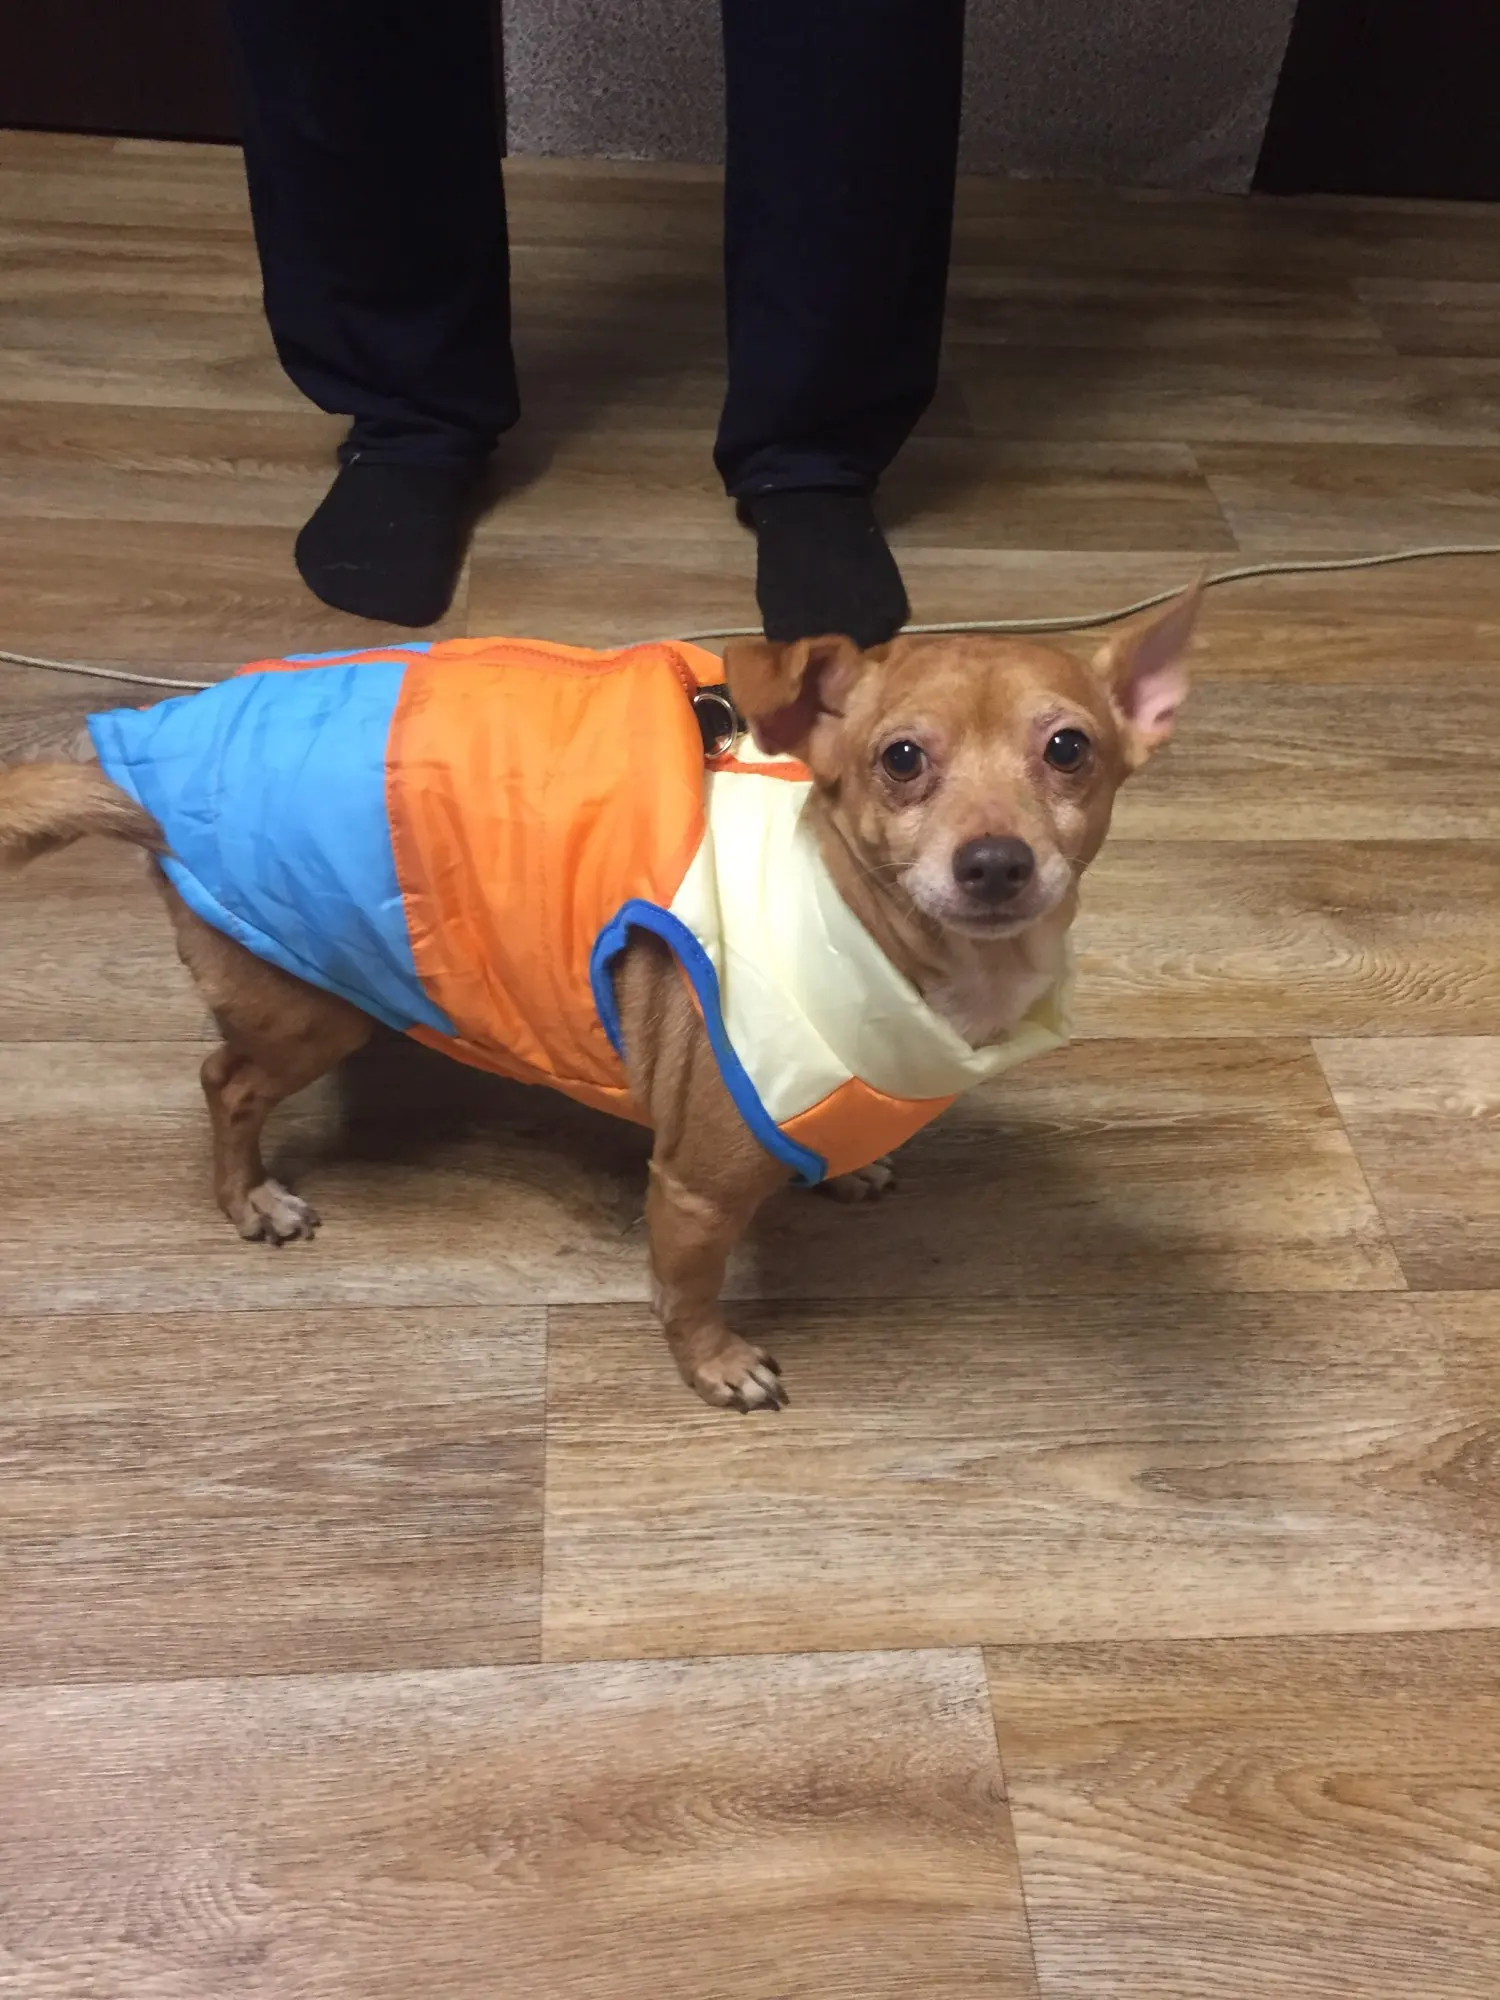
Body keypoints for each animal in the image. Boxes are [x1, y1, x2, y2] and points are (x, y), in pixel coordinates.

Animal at [0, 592, 1196, 1409]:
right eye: (900, 759)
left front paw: (851, 1168)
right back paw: (249, 1197)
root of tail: (147, 751)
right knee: (226, 1081)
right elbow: (688, 1290)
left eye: (1069, 749)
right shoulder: (696, 1191)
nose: (994, 862)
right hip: (301, 1006)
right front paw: (714, 1363)